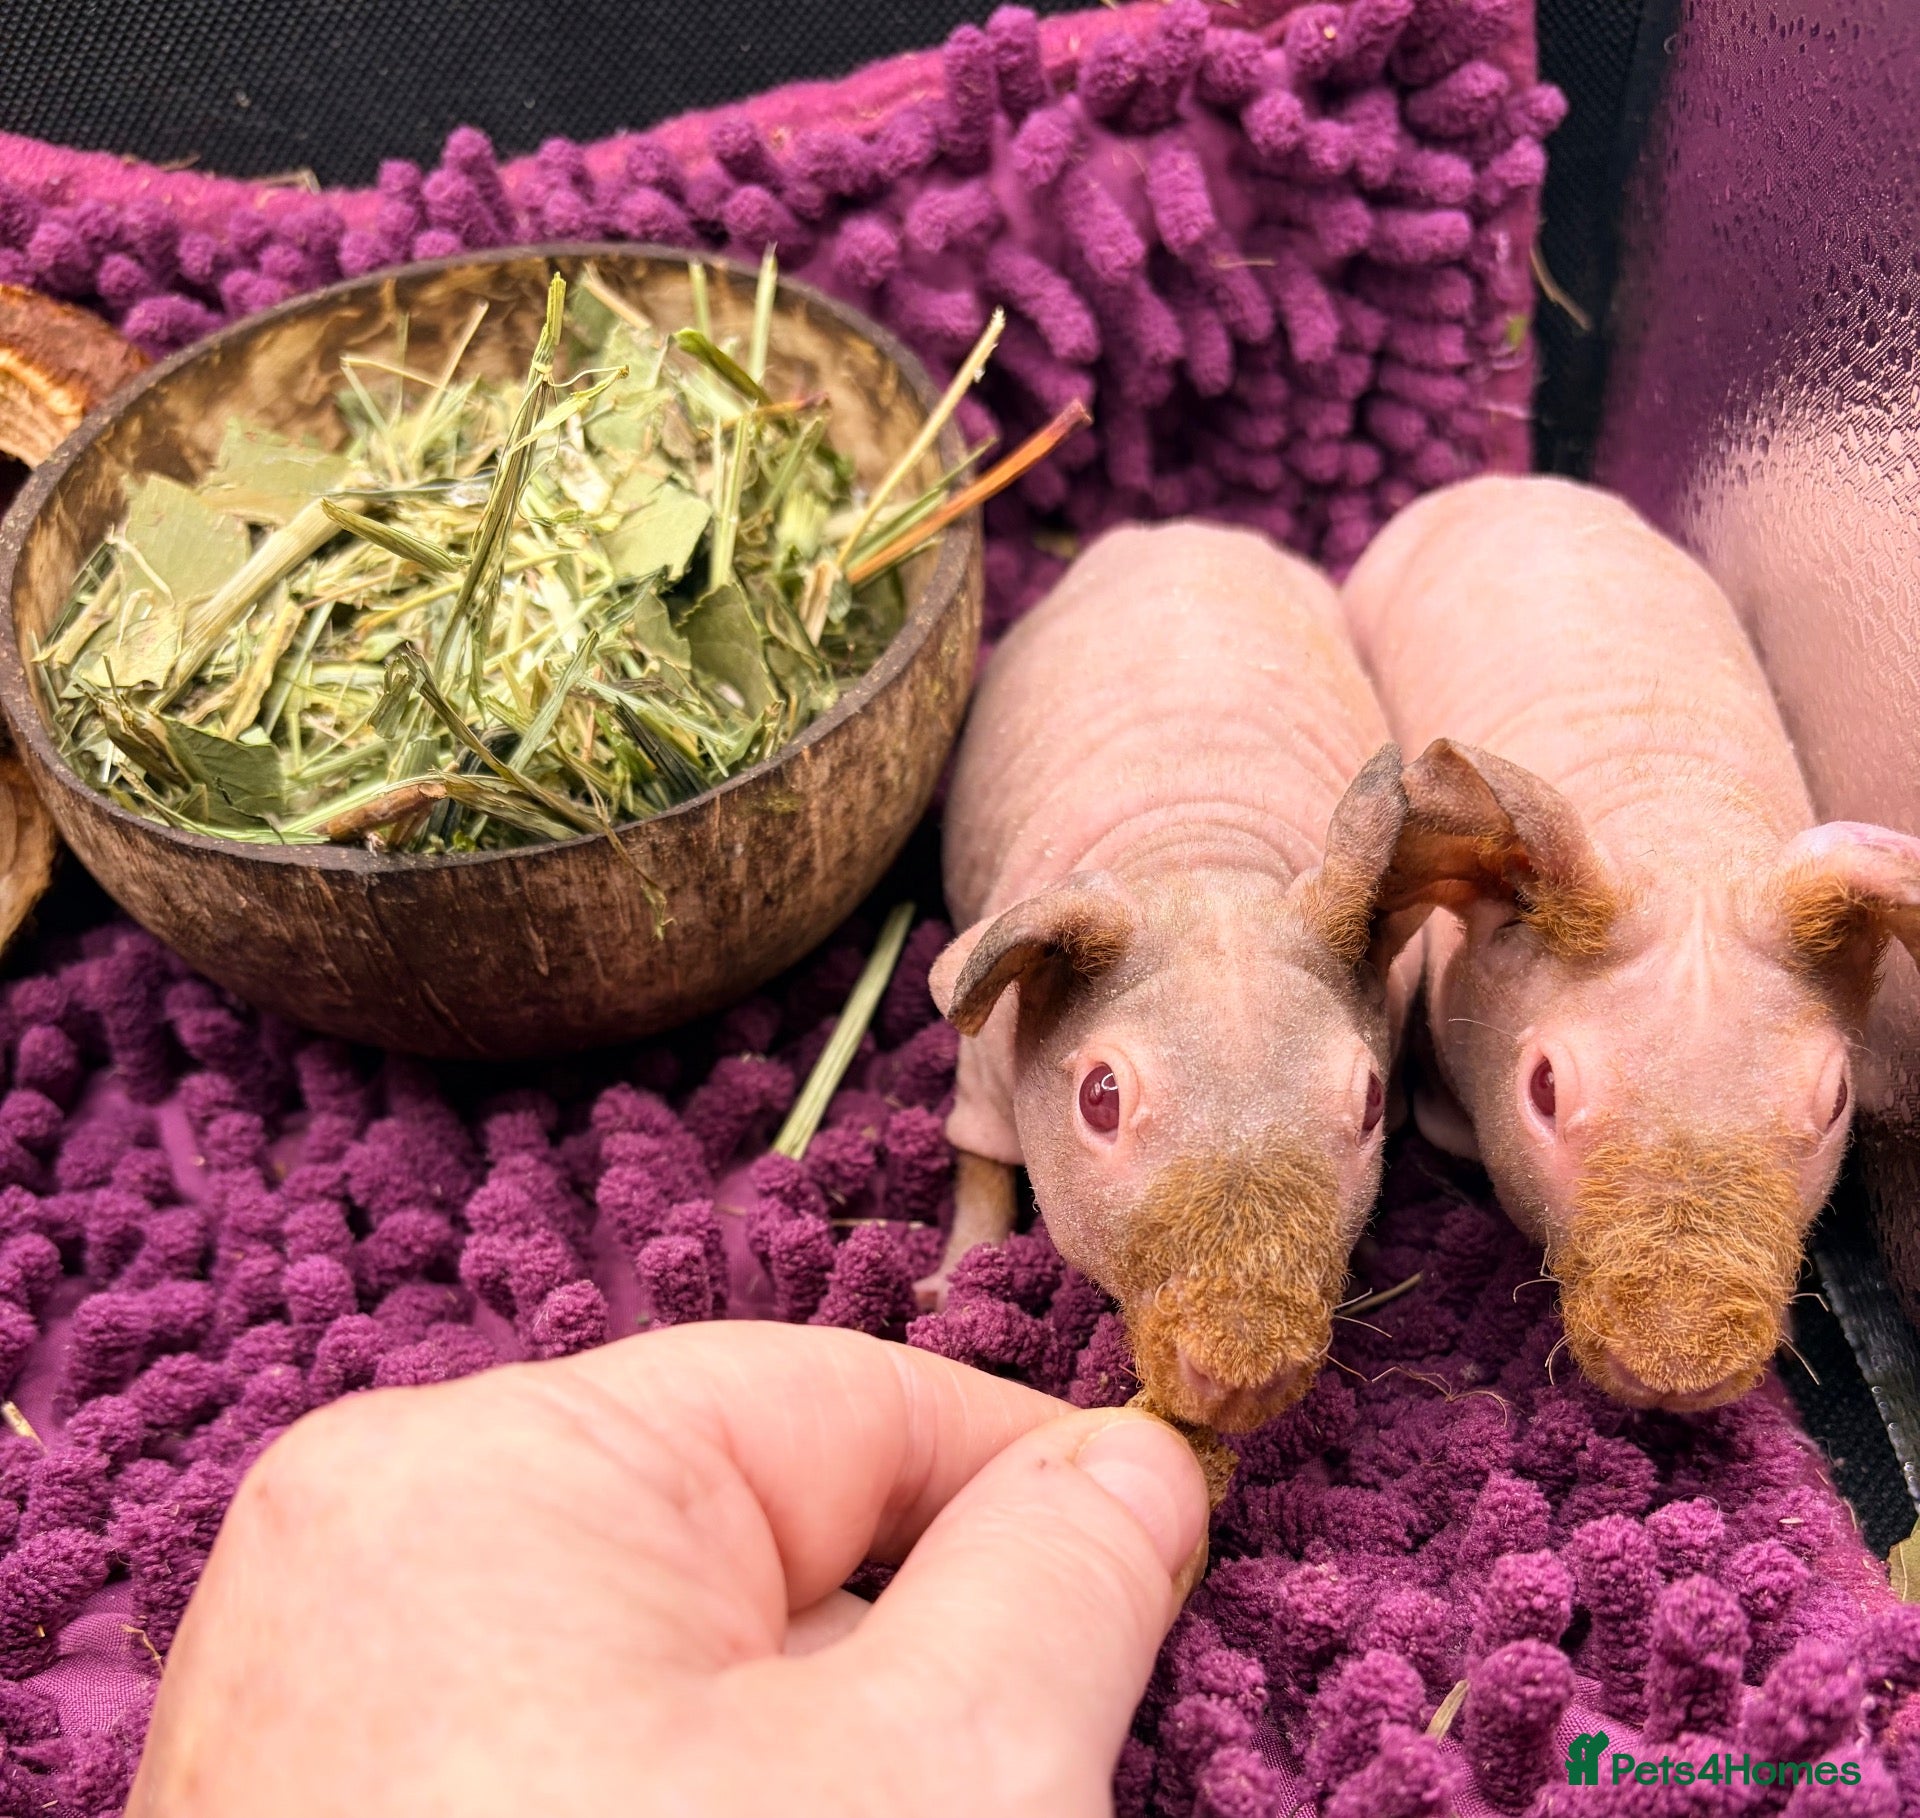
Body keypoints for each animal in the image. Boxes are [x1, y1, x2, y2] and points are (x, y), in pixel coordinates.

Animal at [926, 520, 1434, 1432]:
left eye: (1373, 1102)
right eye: (1100, 1096)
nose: (1243, 1378)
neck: (1203, 856)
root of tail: (1184, 527)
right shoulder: (990, 1039)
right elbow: (979, 1151)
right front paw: (959, 1278)